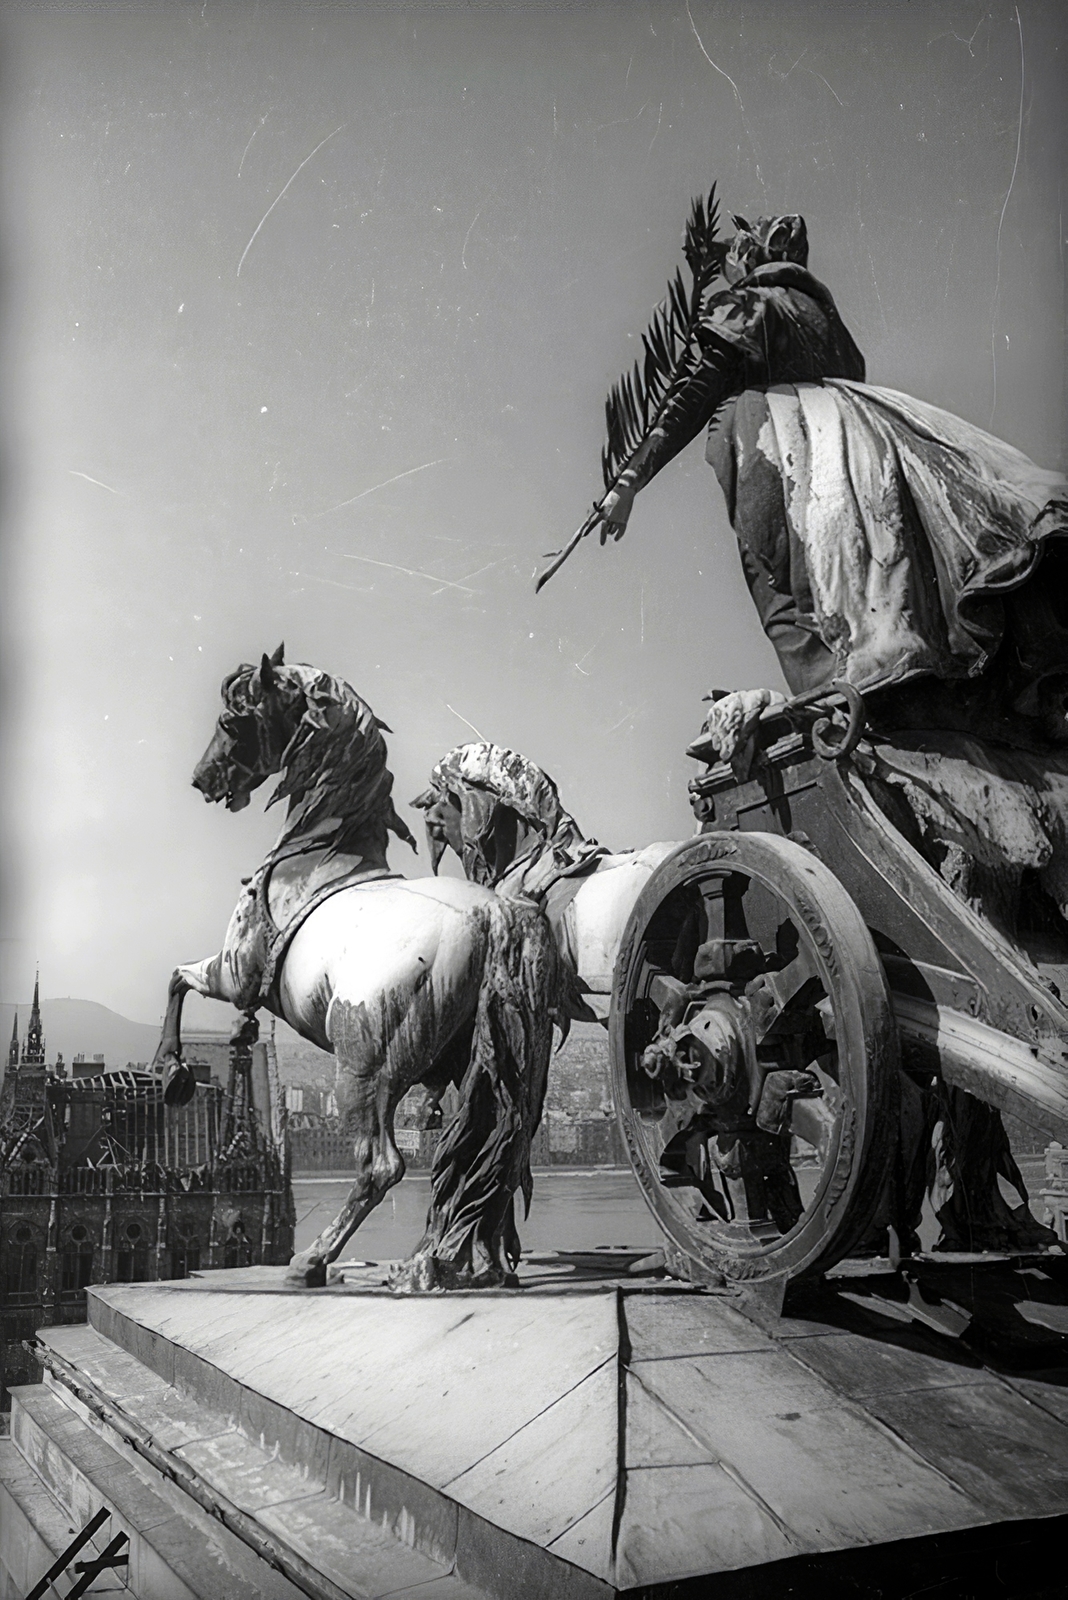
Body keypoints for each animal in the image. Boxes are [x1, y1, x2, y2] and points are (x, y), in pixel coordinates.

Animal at [150, 649, 575, 1286]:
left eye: (231, 721)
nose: (203, 779)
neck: (320, 848)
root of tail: (493, 913)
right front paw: (222, 1044)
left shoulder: (236, 969)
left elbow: (177, 976)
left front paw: (172, 1069)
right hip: (490, 1065)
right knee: (498, 1150)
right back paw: (471, 1262)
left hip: (361, 1068)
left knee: (382, 1165)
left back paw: (316, 1258)